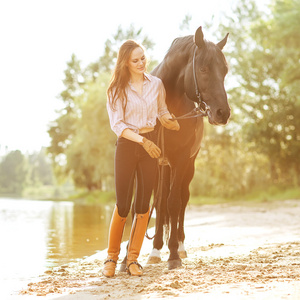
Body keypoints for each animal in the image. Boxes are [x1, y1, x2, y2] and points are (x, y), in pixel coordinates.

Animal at [146, 26, 231, 270]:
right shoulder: (152, 159)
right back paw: (156, 248)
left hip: (188, 166)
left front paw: (174, 254)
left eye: (225, 71)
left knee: (182, 200)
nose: (223, 113)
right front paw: (155, 250)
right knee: (161, 202)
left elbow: (174, 204)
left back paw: (181, 246)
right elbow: (158, 204)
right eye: (203, 68)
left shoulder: (182, 159)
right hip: (164, 167)